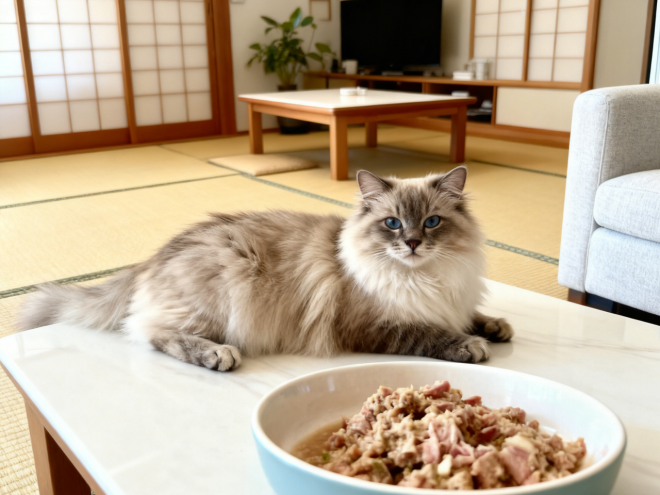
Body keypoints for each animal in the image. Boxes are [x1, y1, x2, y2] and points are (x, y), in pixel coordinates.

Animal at [18, 166, 513, 371]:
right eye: (392, 223)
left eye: (431, 223)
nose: (411, 244)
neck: (421, 277)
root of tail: (152, 259)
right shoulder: (374, 327)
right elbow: (430, 334)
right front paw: (471, 346)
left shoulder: (452, 300)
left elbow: (472, 317)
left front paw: (496, 328)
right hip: (221, 295)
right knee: (154, 334)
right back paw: (218, 356)